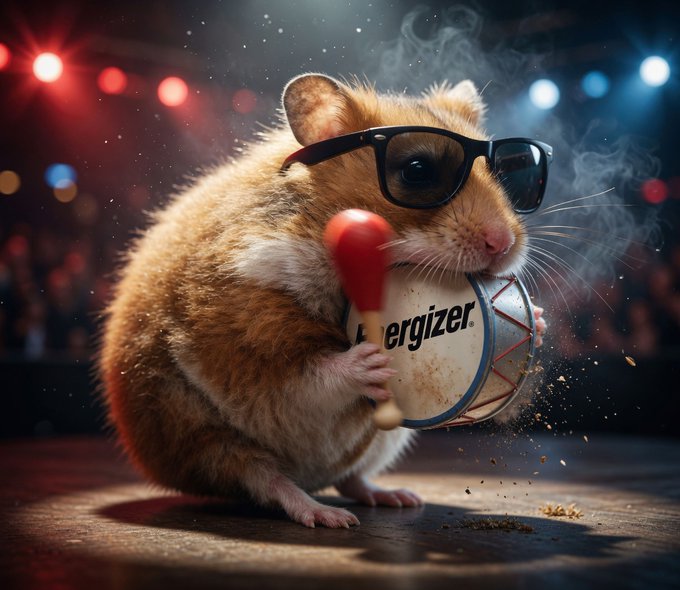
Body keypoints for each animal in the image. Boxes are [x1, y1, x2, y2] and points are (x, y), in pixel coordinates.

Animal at [99, 73, 546, 528]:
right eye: (418, 171)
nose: (503, 244)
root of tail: (315, 477)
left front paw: (540, 321)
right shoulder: (246, 338)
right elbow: (308, 376)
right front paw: (373, 362)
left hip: (380, 443)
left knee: (350, 478)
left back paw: (399, 498)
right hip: (206, 439)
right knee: (266, 480)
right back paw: (329, 516)